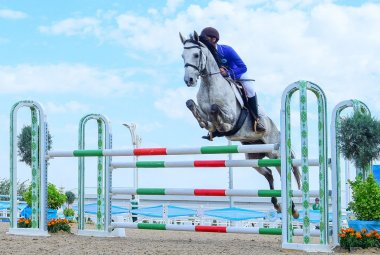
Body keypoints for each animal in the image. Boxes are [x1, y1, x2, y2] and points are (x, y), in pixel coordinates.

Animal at [180, 31, 302, 219]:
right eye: (182, 56)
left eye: (196, 54)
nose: (189, 80)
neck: (210, 84)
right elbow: (192, 106)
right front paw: (209, 129)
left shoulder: (231, 117)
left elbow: (216, 111)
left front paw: (217, 127)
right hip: (252, 157)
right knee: (269, 174)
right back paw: (277, 205)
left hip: (275, 153)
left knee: (283, 174)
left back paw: (293, 209)